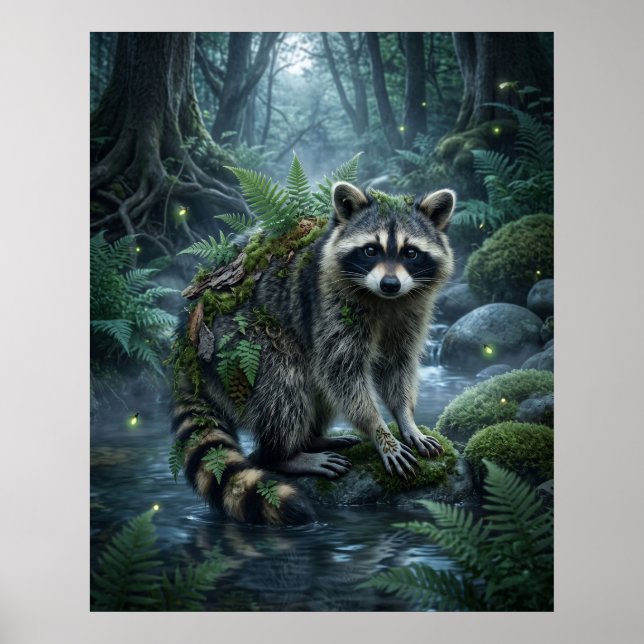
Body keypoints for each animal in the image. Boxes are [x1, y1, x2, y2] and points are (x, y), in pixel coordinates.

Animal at [172, 182, 455, 525]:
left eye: (410, 252)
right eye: (370, 250)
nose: (390, 284)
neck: (384, 300)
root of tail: (189, 351)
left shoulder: (411, 310)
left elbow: (396, 365)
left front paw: (405, 418)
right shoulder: (328, 302)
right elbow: (341, 371)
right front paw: (379, 432)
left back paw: (312, 438)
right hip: (238, 344)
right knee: (284, 383)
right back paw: (283, 454)